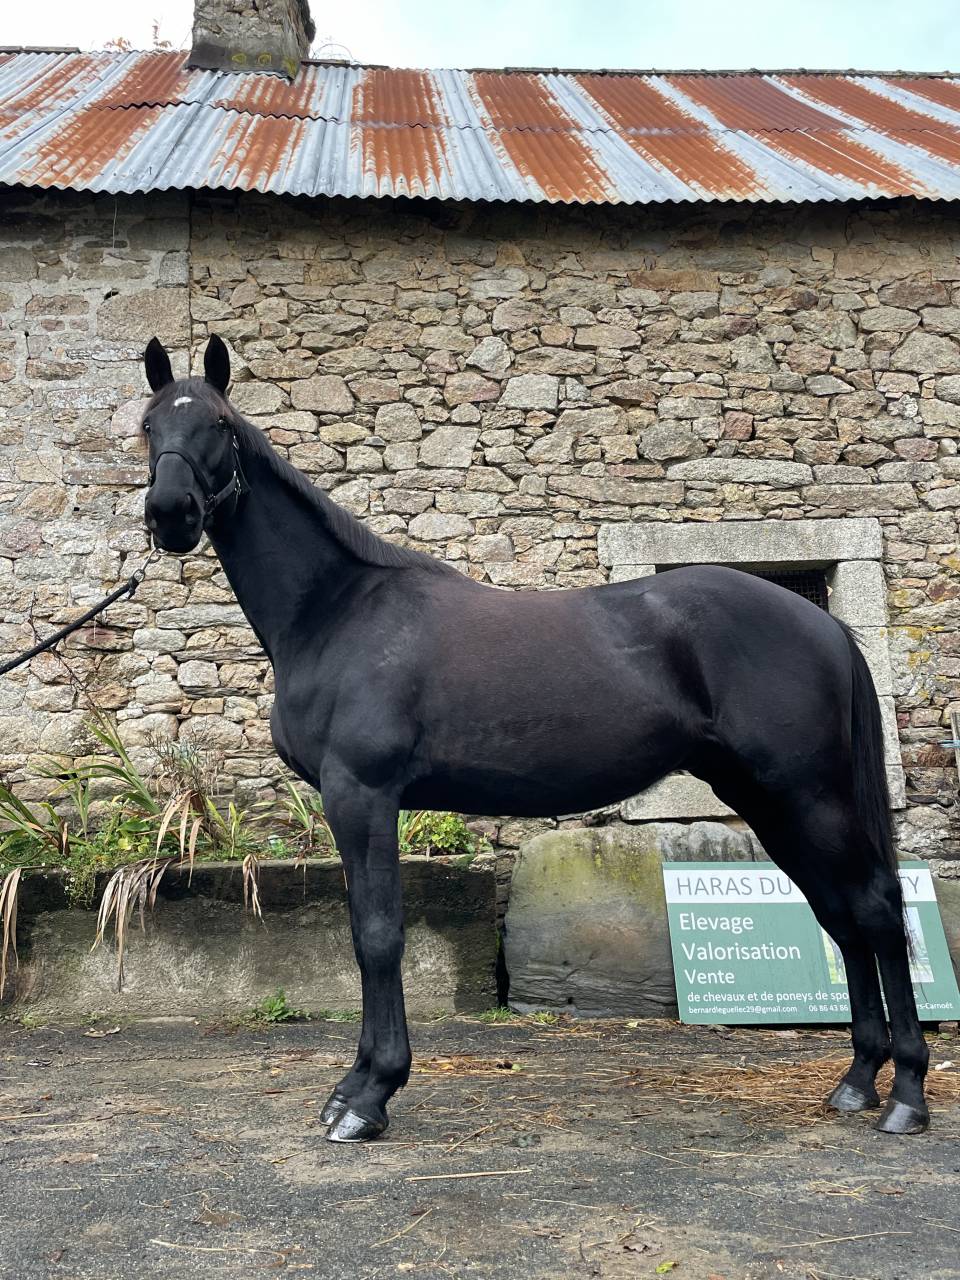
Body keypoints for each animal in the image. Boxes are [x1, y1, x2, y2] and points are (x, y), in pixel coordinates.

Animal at [139, 334, 930, 1142]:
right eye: (147, 425)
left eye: (220, 425)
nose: (170, 514)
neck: (339, 613)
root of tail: (822, 623)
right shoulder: (350, 803)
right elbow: (366, 934)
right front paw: (353, 1086)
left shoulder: (362, 794)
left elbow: (378, 935)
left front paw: (369, 1097)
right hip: (772, 803)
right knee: (839, 917)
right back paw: (857, 1080)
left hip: (810, 795)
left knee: (873, 908)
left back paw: (905, 1095)